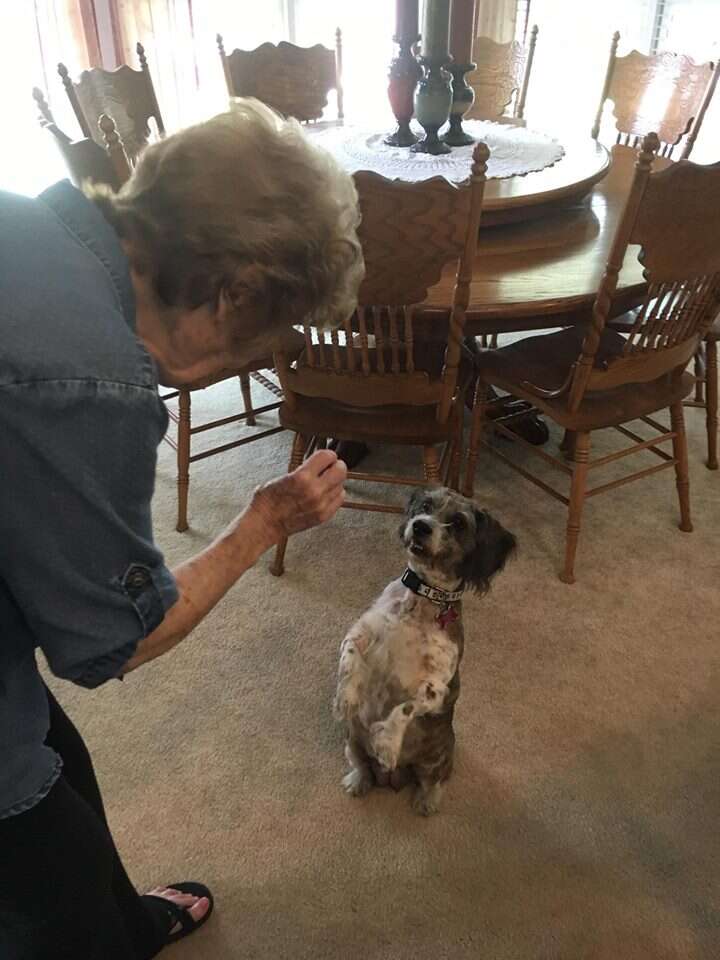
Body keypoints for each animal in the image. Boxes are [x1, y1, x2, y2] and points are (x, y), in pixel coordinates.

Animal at [334, 492, 516, 812]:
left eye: (458, 522)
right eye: (425, 507)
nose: (420, 526)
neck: (418, 601)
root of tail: (391, 778)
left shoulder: (438, 686)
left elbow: (407, 706)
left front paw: (387, 742)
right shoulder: (360, 633)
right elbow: (350, 661)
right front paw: (346, 698)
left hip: (438, 759)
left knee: (433, 782)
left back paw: (426, 802)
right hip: (352, 739)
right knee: (362, 766)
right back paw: (358, 781)